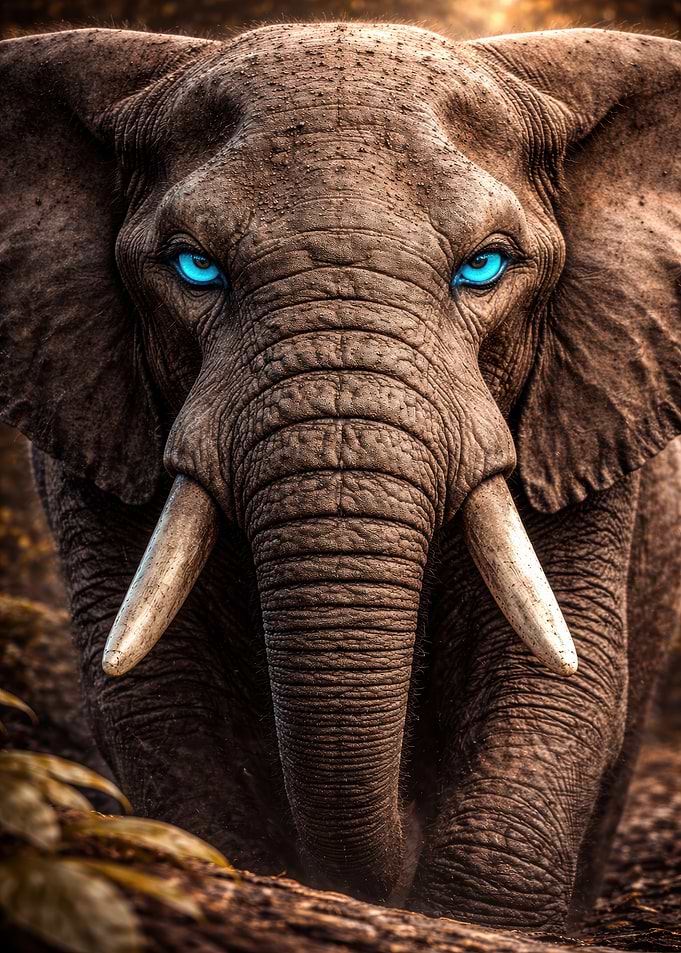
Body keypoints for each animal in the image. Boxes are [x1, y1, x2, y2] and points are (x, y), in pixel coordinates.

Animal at [1, 19, 681, 934]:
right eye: (192, 267)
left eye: (485, 266)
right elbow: (155, 691)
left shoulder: (584, 403)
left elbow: (556, 678)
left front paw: (477, 917)